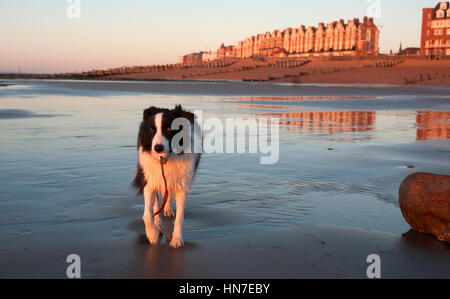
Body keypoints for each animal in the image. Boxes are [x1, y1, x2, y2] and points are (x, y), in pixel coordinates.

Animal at [133, 105, 201, 248]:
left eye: (169, 129)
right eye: (151, 130)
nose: (157, 148)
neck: (166, 158)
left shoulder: (182, 185)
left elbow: (180, 217)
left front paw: (176, 239)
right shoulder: (149, 181)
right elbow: (146, 215)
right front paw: (153, 235)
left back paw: (167, 210)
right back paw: (158, 223)